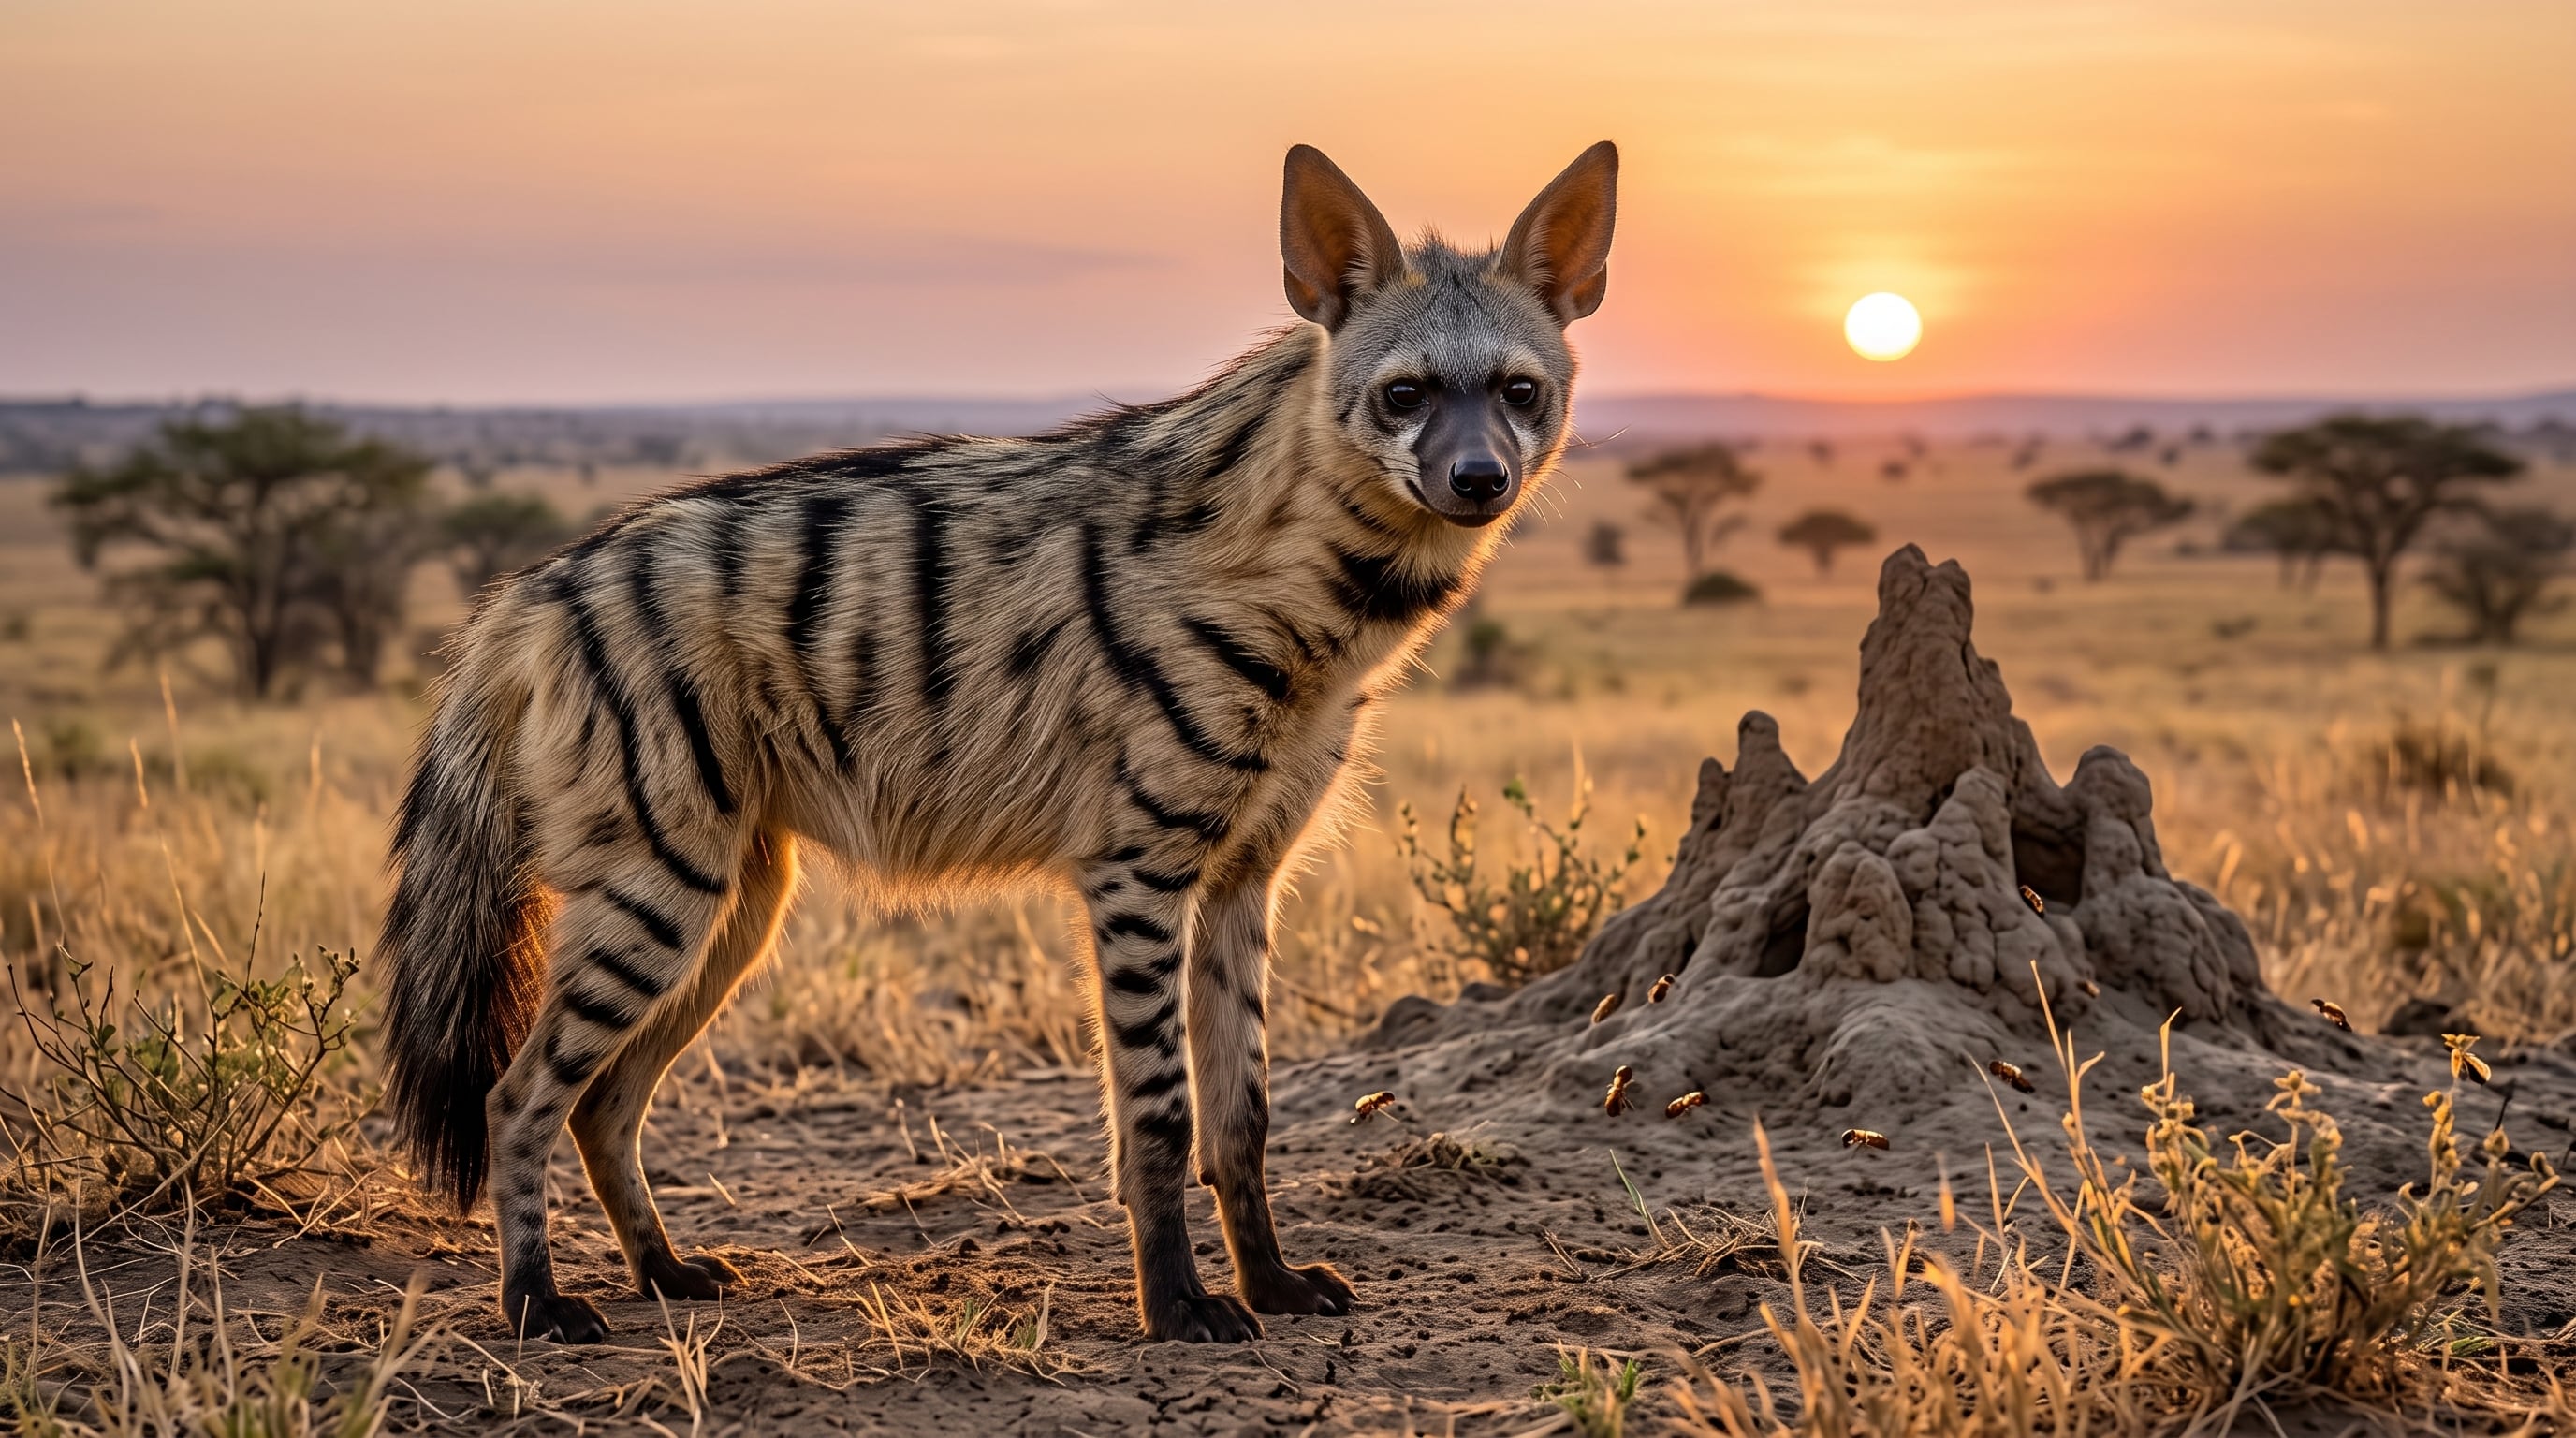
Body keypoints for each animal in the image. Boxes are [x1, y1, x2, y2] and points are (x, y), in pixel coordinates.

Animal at [378, 140, 1618, 1343]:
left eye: (1518, 391)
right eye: (1404, 395)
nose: (1478, 478)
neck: (1321, 609)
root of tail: (531, 592)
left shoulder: (1242, 878)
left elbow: (1244, 1116)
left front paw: (1270, 1287)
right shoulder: (1137, 868)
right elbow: (1160, 1115)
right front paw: (1178, 1310)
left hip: (734, 903)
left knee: (605, 1099)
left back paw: (667, 1273)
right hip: (658, 892)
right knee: (518, 1094)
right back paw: (537, 1304)